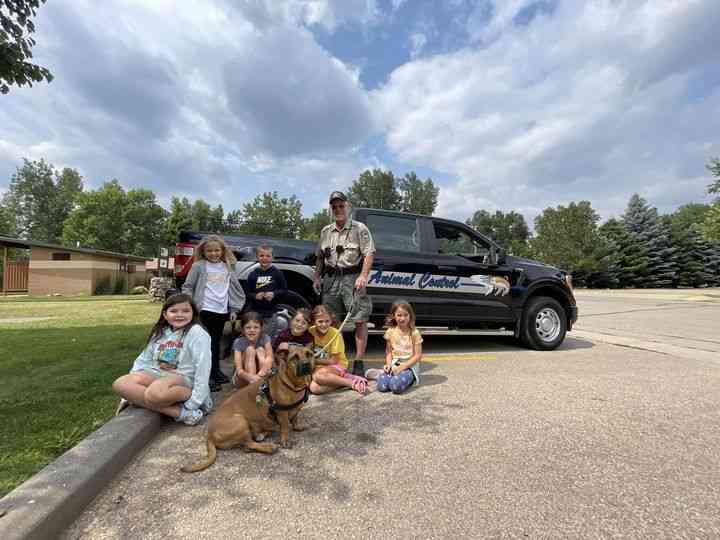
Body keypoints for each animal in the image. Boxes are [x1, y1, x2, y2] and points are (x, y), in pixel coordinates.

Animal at [181, 346, 314, 472]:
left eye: (309, 354)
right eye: (294, 357)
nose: (306, 364)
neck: (295, 385)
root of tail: (209, 435)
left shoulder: (295, 410)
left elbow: (295, 418)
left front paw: (297, 427)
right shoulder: (282, 412)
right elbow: (286, 426)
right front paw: (285, 440)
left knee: (247, 445)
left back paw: (262, 433)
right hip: (240, 421)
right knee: (249, 444)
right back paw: (268, 446)